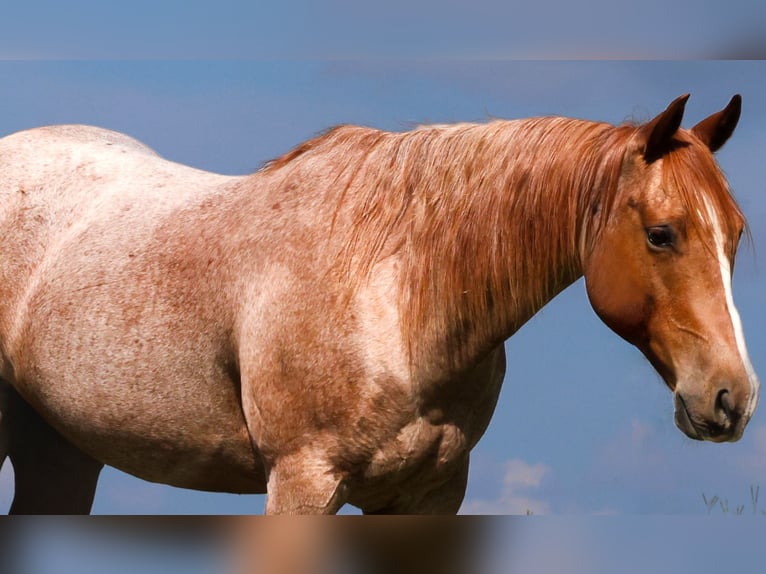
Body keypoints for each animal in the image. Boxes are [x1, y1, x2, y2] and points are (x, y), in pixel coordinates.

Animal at [0, 94, 758, 514]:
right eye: (662, 234)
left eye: (736, 233)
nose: (733, 398)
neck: (397, 297)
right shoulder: (302, 482)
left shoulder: (428, 496)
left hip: (61, 454)